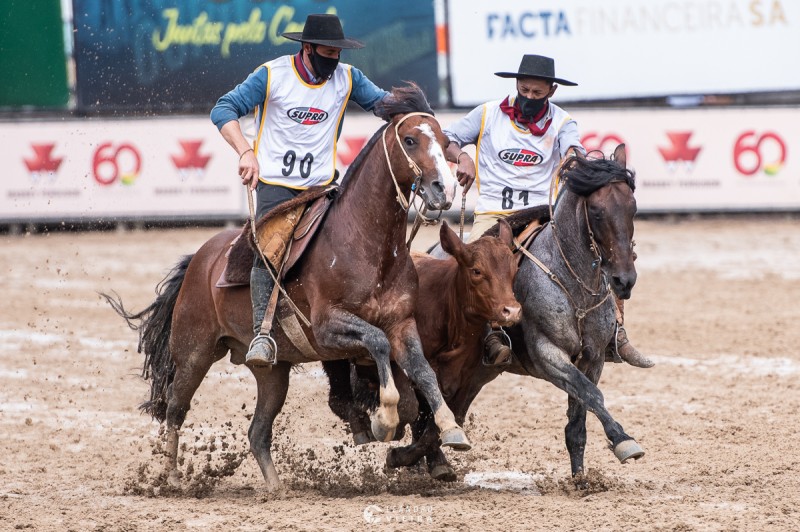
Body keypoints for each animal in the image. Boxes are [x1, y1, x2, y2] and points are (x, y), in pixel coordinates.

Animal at [102, 85, 472, 492]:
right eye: (409, 140)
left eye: (445, 141)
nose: (445, 188)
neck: (366, 246)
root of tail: (200, 259)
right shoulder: (328, 328)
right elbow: (377, 344)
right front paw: (384, 418)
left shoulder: (403, 325)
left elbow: (421, 373)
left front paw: (449, 428)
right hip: (194, 354)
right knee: (175, 409)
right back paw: (170, 478)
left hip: (272, 374)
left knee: (257, 432)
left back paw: (276, 487)